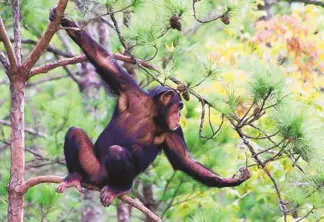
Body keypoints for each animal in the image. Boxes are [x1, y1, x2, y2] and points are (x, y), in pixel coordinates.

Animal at [49, 8, 249, 206]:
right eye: (178, 107)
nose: (178, 116)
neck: (153, 114)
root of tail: (97, 181)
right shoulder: (128, 89)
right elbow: (102, 59)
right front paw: (65, 21)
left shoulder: (173, 132)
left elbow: (185, 161)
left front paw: (231, 180)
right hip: (93, 169)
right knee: (75, 132)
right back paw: (75, 176)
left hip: (108, 178)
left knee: (117, 152)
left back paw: (119, 188)